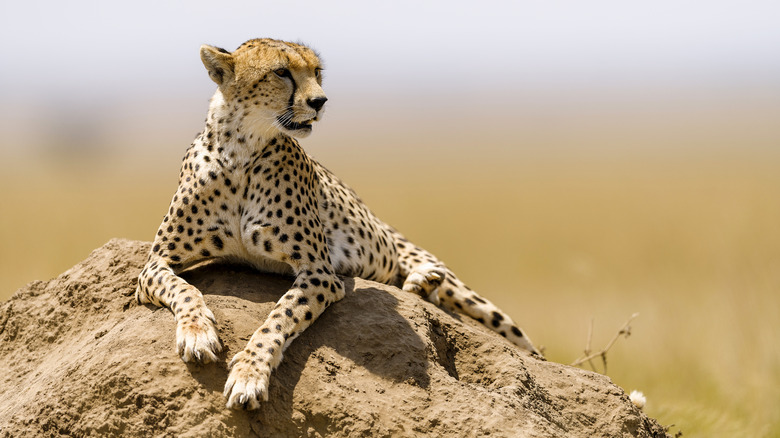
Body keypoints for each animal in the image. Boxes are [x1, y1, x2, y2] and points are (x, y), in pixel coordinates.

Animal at [136, 38, 544, 410]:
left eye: (317, 72)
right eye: (281, 72)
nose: (321, 101)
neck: (242, 150)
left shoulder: (320, 272)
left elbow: (277, 319)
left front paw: (250, 374)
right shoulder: (154, 264)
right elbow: (183, 289)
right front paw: (197, 334)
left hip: (466, 294)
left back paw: (426, 280)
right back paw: (421, 284)